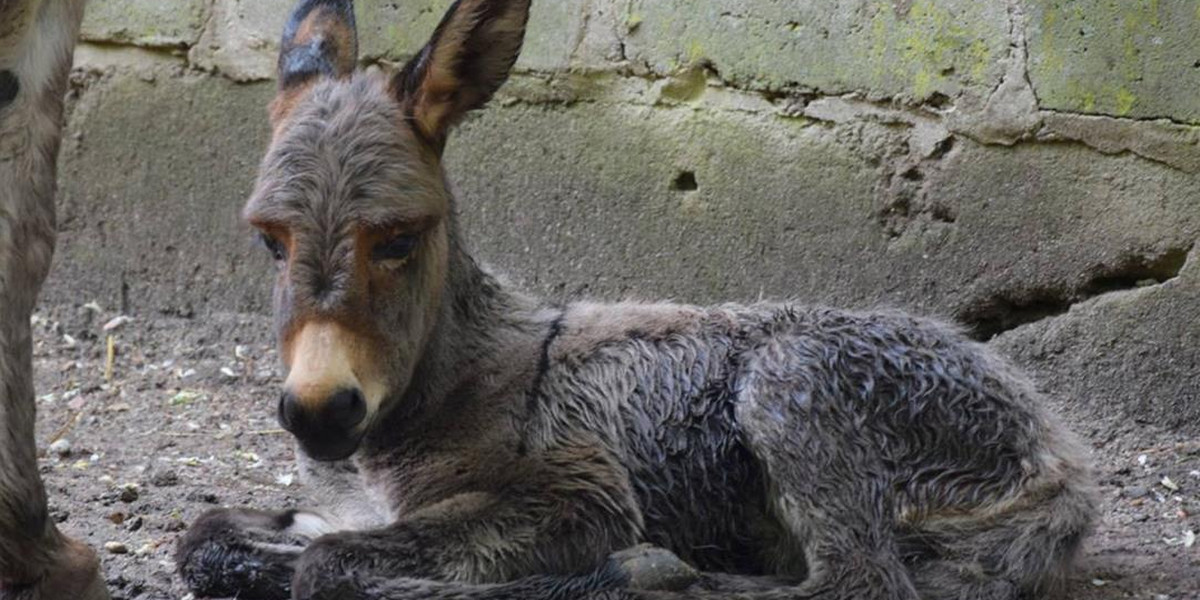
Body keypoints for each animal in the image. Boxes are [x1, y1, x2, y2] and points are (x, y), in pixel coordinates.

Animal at [175, 1, 1099, 600]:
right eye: (270, 240)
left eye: (399, 238)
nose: (319, 410)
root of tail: (1055, 447)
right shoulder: (339, 506)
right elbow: (208, 538)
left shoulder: (581, 493)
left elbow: (331, 570)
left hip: (792, 383)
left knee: (857, 582)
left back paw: (660, 576)